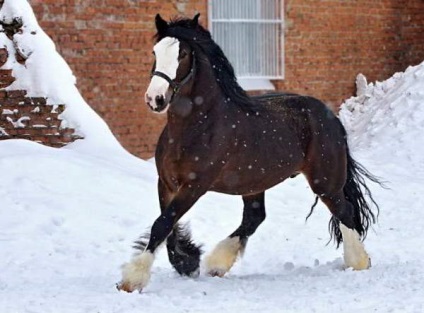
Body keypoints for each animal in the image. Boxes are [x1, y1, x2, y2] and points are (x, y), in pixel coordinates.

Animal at [117, 13, 380, 292]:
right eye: (155, 51)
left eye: (183, 54)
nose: (155, 99)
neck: (196, 125)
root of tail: (330, 116)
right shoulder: (166, 183)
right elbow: (168, 225)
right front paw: (187, 262)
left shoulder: (194, 186)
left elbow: (163, 223)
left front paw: (131, 280)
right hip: (254, 183)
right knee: (255, 217)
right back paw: (217, 264)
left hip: (325, 182)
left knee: (345, 212)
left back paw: (358, 262)